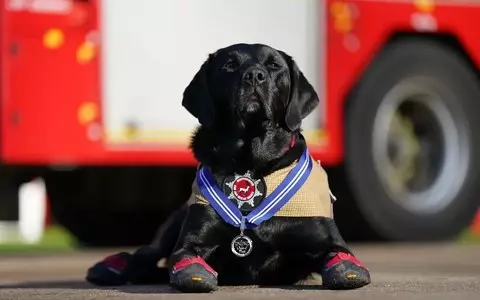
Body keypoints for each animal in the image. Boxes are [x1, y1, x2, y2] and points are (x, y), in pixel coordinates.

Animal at [86, 43, 372, 292]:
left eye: (274, 66)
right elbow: (186, 260)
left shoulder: (326, 239)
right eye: (229, 65)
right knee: (147, 254)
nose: (254, 75)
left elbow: (341, 258)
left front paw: (346, 272)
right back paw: (110, 267)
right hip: (174, 222)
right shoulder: (192, 242)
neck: (251, 163)